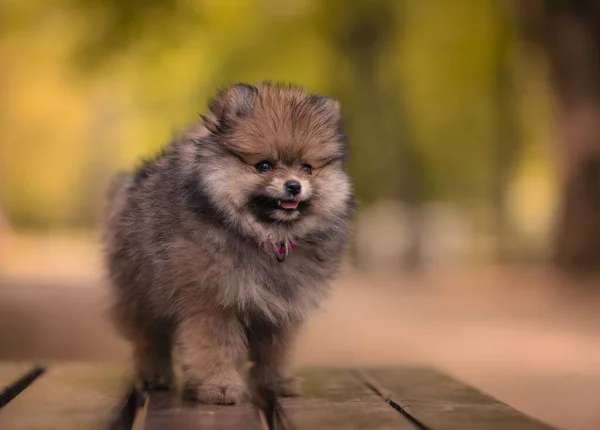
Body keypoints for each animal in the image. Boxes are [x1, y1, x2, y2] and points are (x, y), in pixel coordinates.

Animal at [102, 82, 354, 404]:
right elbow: (216, 347)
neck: (267, 239)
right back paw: (154, 376)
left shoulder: (281, 309)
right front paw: (219, 386)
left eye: (307, 168)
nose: (294, 185)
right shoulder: (214, 300)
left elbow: (276, 352)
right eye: (264, 165)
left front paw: (278, 383)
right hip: (140, 293)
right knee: (150, 340)